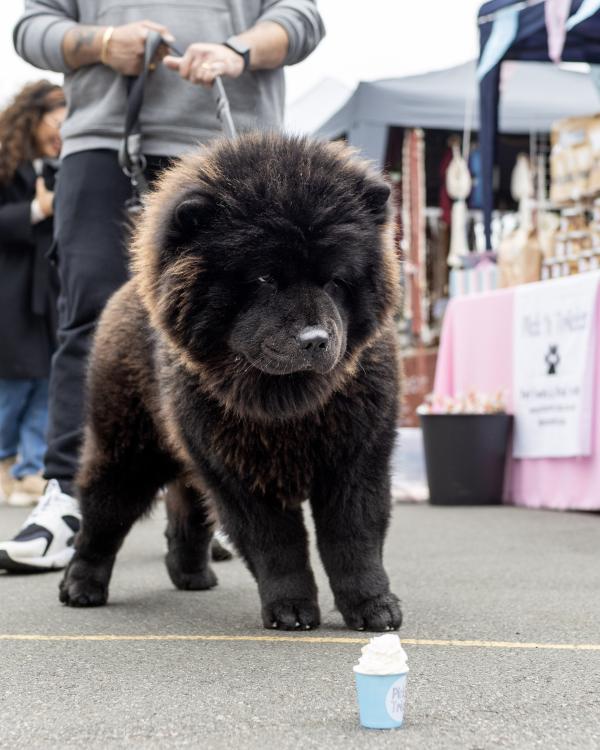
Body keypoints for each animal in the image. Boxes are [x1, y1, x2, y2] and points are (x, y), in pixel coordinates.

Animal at [58, 132, 400, 632]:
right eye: (264, 278)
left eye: (335, 281)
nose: (316, 339)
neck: (289, 408)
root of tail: (130, 288)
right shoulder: (237, 471)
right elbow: (277, 545)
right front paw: (291, 609)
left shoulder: (356, 459)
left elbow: (354, 540)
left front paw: (374, 607)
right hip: (127, 449)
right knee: (102, 515)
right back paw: (81, 586)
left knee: (186, 513)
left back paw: (190, 574)